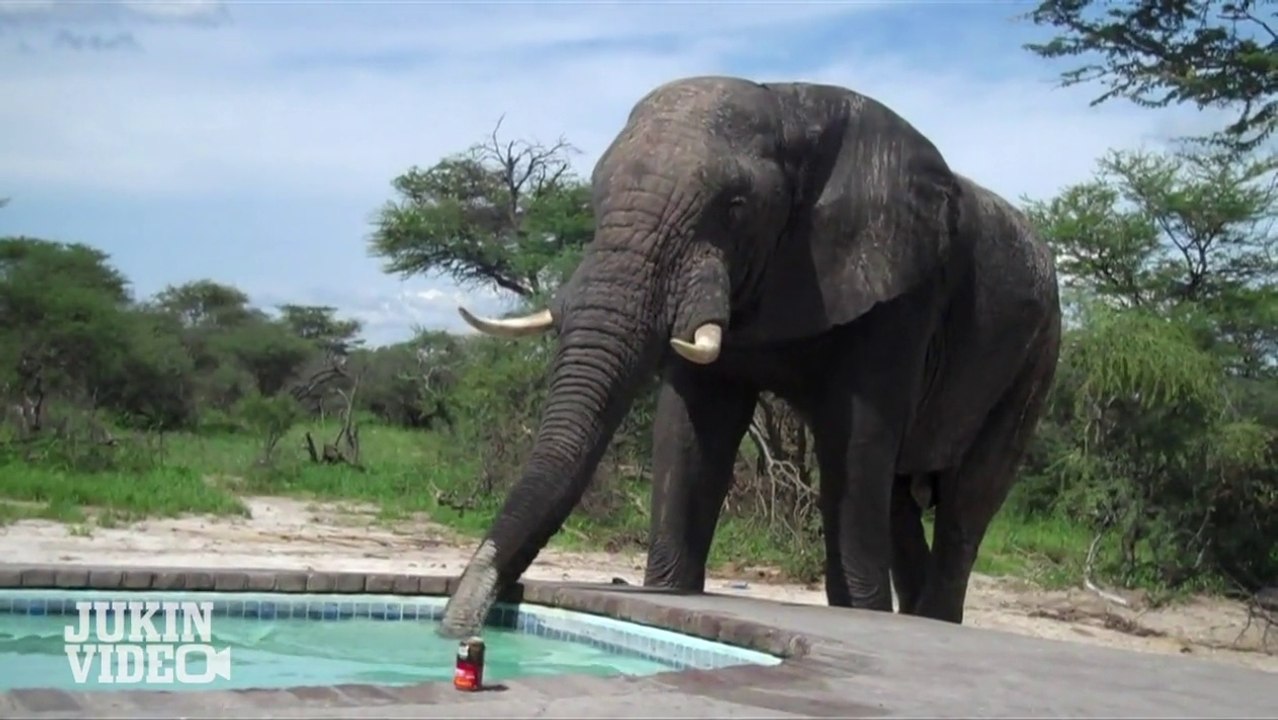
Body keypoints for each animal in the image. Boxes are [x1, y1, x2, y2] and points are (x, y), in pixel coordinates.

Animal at [438, 75, 1061, 638]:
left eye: (735, 206)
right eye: (595, 197)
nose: (459, 628)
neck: (790, 106)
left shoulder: (901, 291)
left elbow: (857, 440)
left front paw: (861, 615)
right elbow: (693, 429)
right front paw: (668, 591)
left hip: (1038, 352)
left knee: (965, 501)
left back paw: (930, 620)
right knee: (900, 498)